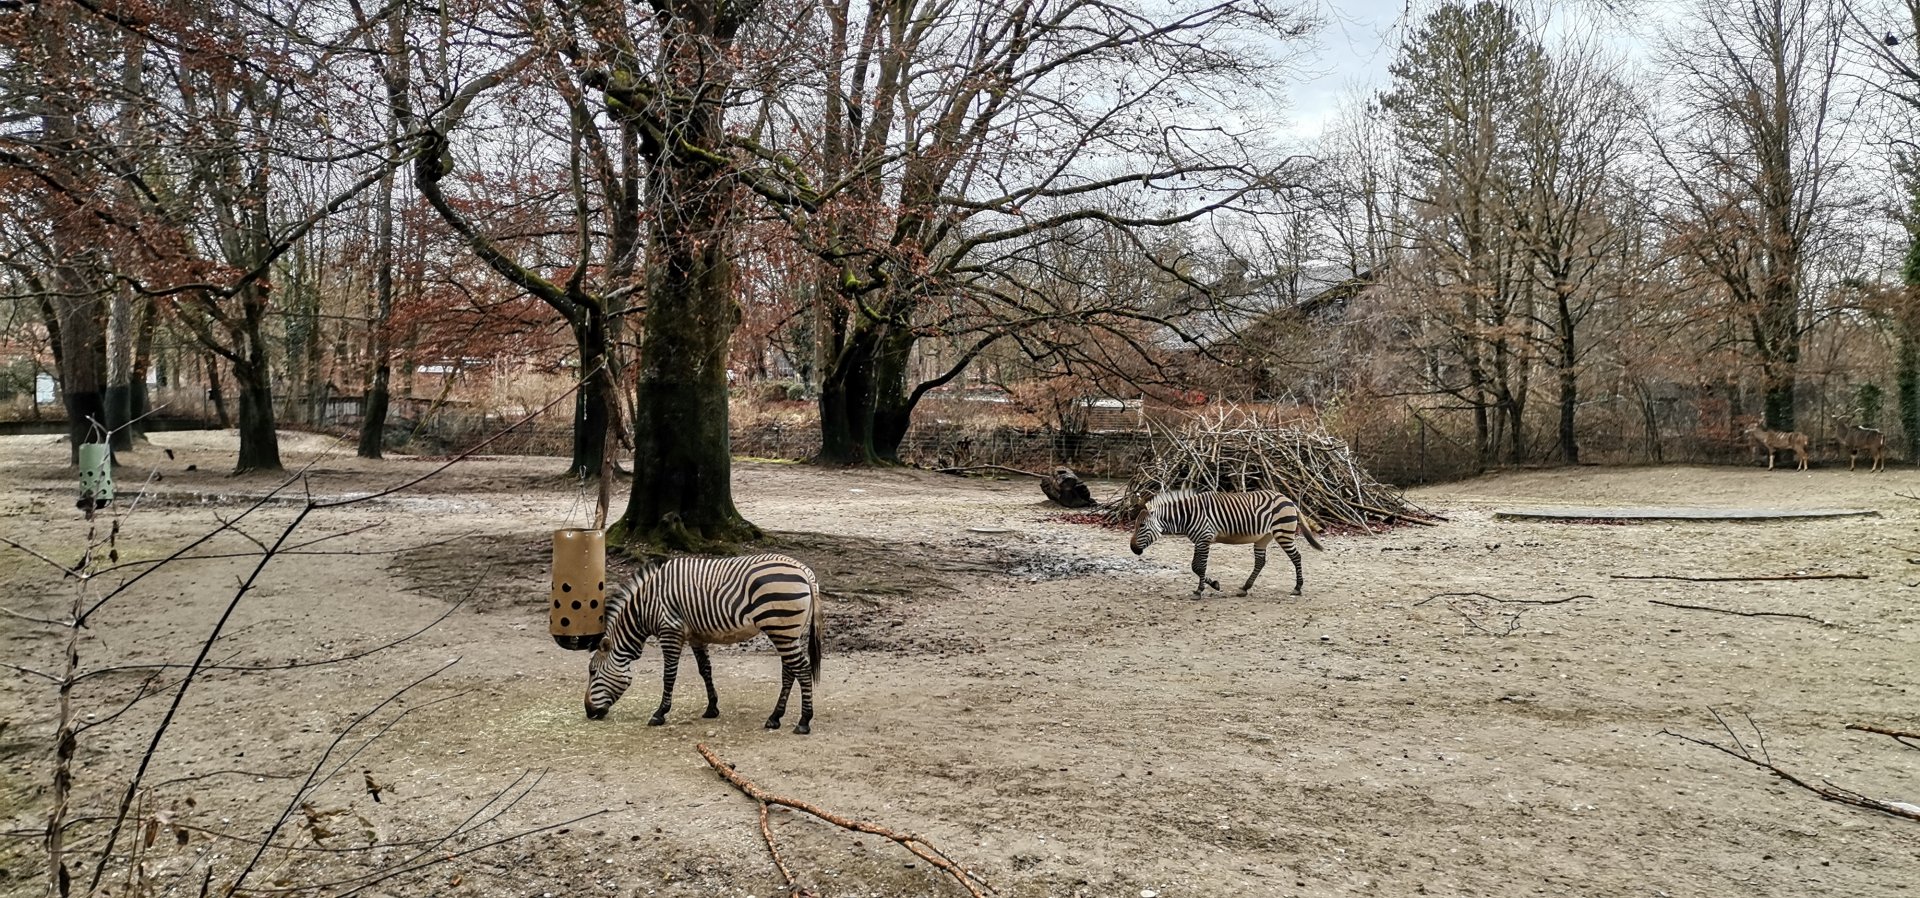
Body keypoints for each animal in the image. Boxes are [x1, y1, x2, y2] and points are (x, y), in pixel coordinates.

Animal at [584, 553, 824, 734]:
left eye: (592, 672)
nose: (588, 711)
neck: (645, 607)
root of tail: (805, 571)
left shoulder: (670, 630)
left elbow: (669, 675)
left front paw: (660, 713)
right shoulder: (696, 636)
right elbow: (705, 670)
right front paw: (712, 708)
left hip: (781, 628)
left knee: (802, 669)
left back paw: (804, 721)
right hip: (788, 632)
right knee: (790, 671)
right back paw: (775, 717)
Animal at [1130, 489, 1324, 597]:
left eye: (1142, 525)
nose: (1132, 548)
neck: (1187, 516)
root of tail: (1289, 500)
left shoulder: (1204, 538)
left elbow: (1199, 566)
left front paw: (1199, 591)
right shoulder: (1199, 540)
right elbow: (1195, 566)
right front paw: (1214, 584)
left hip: (1283, 533)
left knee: (1296, 557)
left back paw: (1297, 588)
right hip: (1263, 537)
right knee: (1260, 561)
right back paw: (1245, 588)